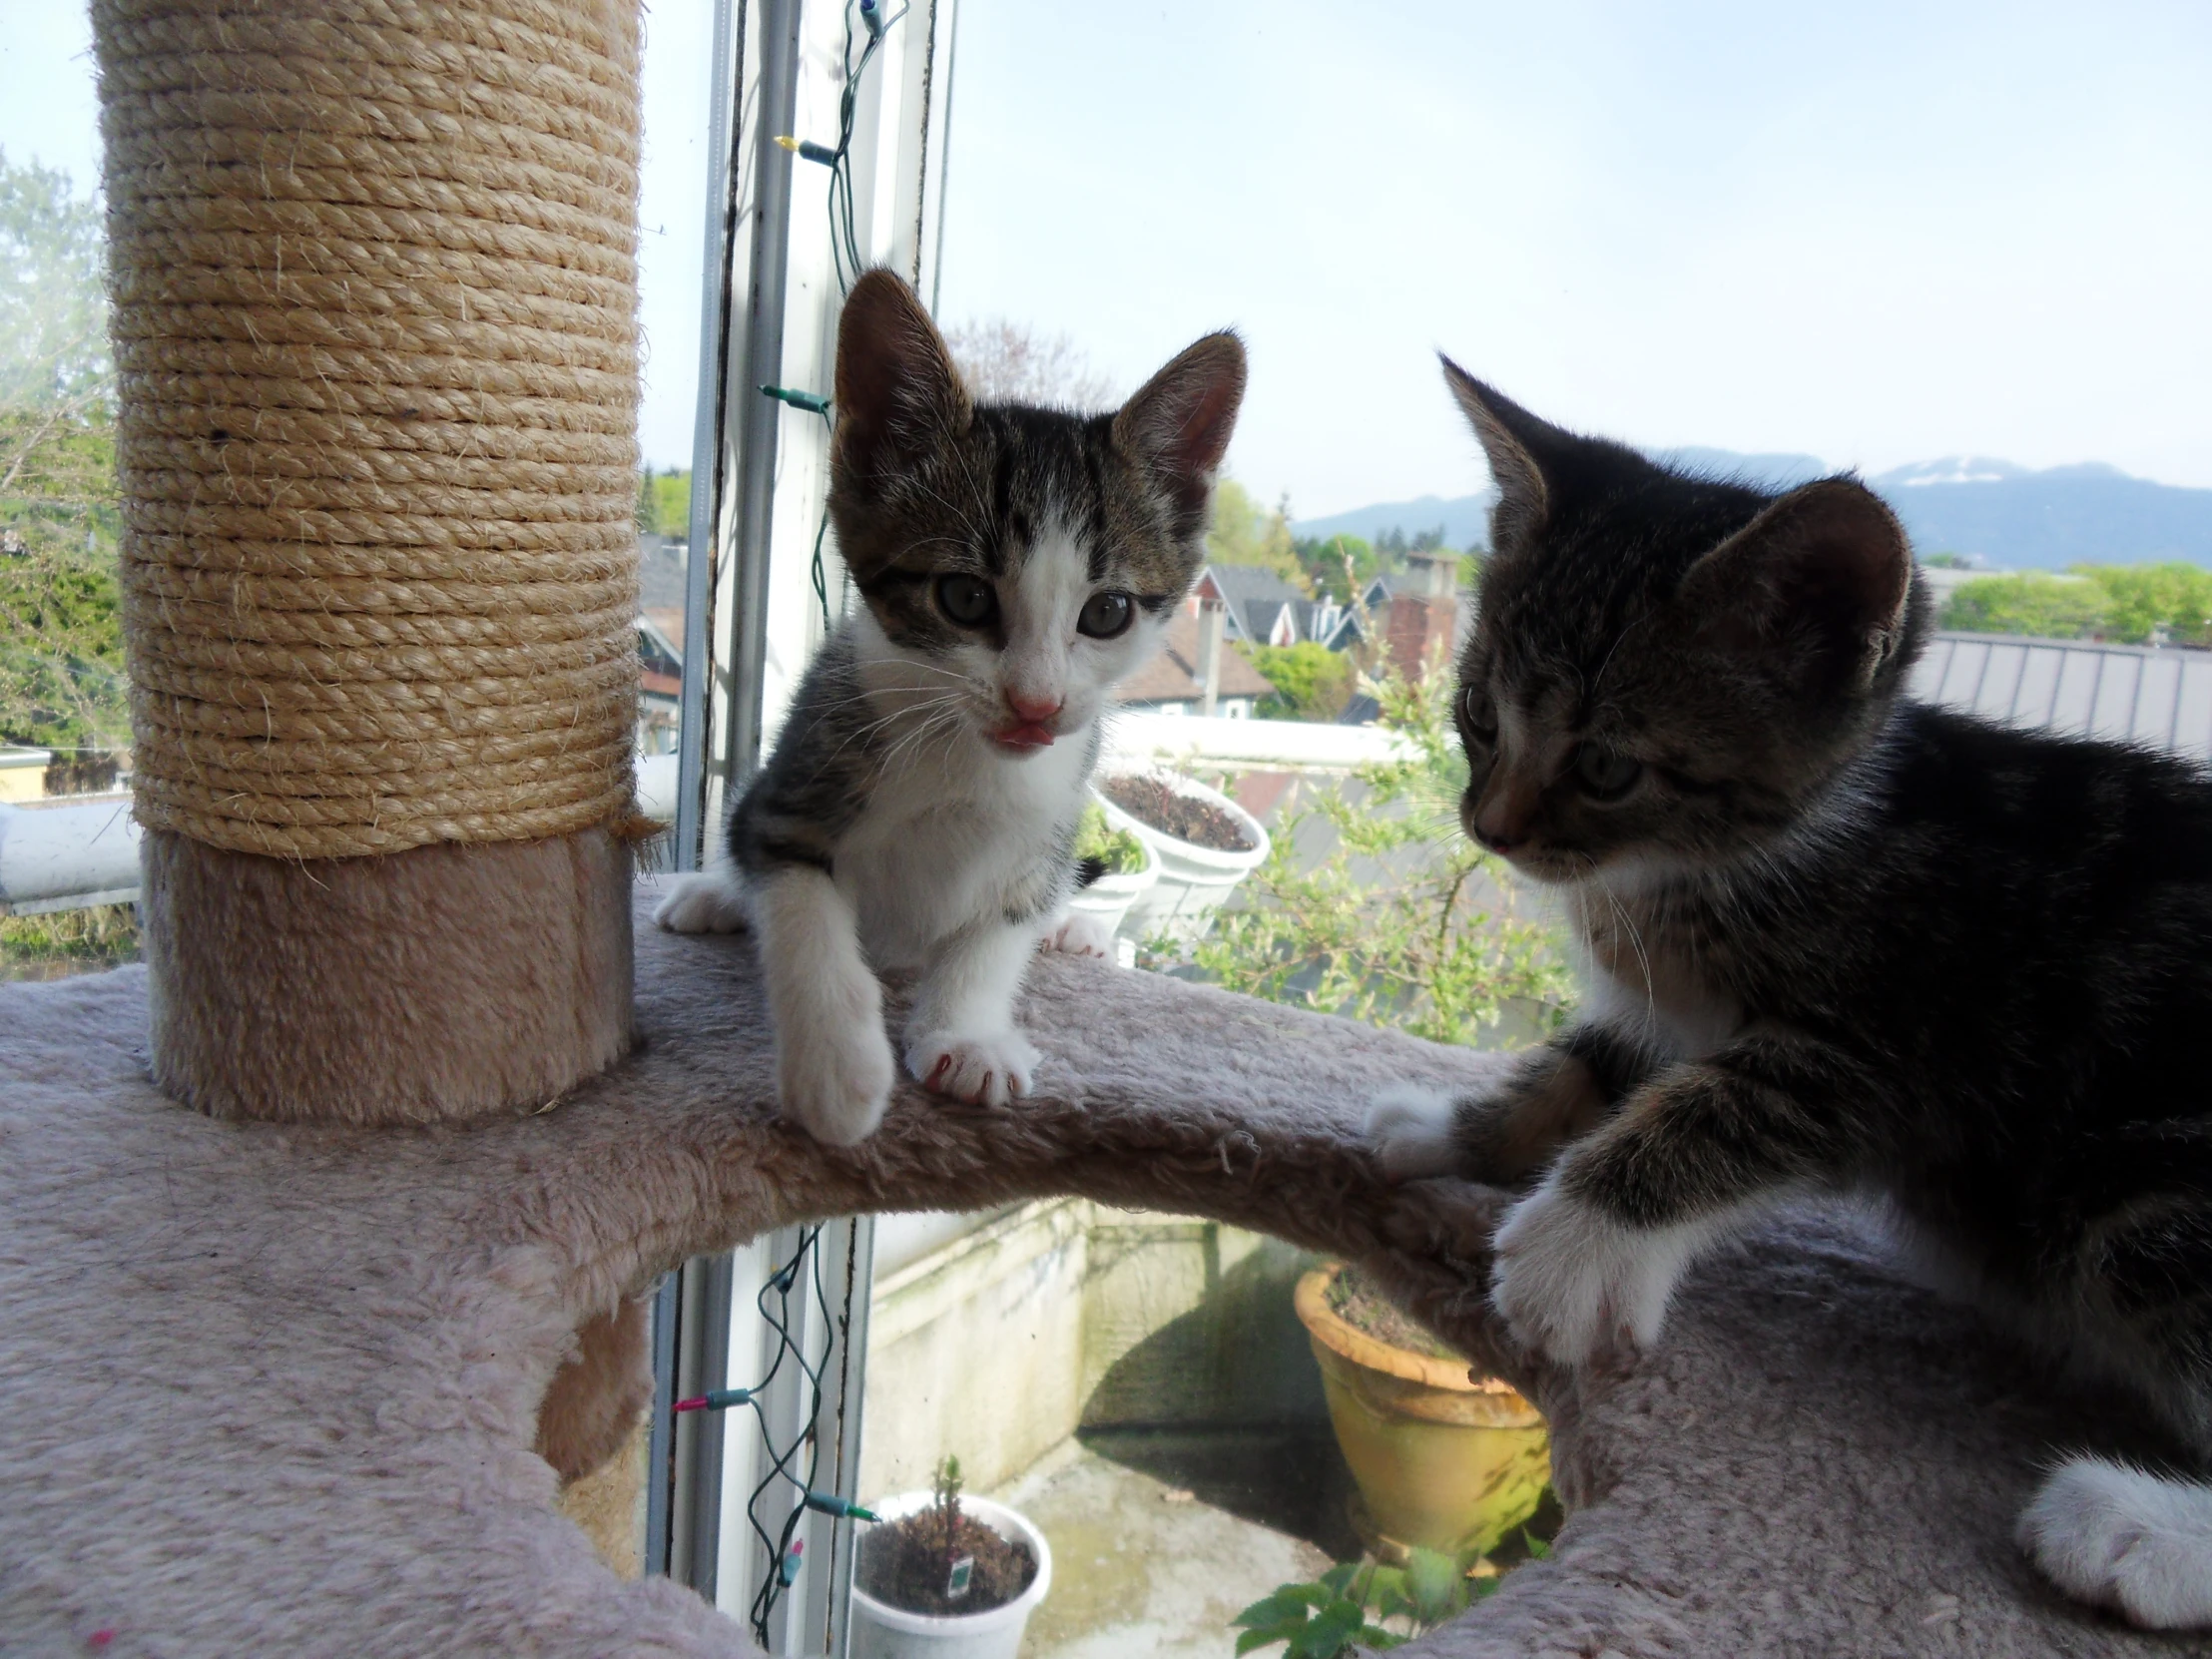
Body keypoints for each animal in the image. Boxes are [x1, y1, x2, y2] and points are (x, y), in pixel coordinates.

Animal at [654, 276, 1247, 1159]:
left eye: (1107, 613)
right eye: (964, 598)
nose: (1036, 704)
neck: (966, 757)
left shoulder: (1047, 822)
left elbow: (999, 931)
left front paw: (965, 1034)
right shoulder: (794, 786)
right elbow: (803, 916)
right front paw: (838, 1074)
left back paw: (1078, 930)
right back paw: (716, 897)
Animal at [1371, 366, 2212, 1636]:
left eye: (1606, 766)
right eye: (1476, 714)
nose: (1490, 828)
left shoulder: (1926, 1037)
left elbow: (1732, 1099)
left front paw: (1577, 1242)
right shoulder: (1664, 1000)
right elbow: (1599, 1058)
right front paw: (1449, 1125)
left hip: (2145, 1184)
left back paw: (2134, 1530)